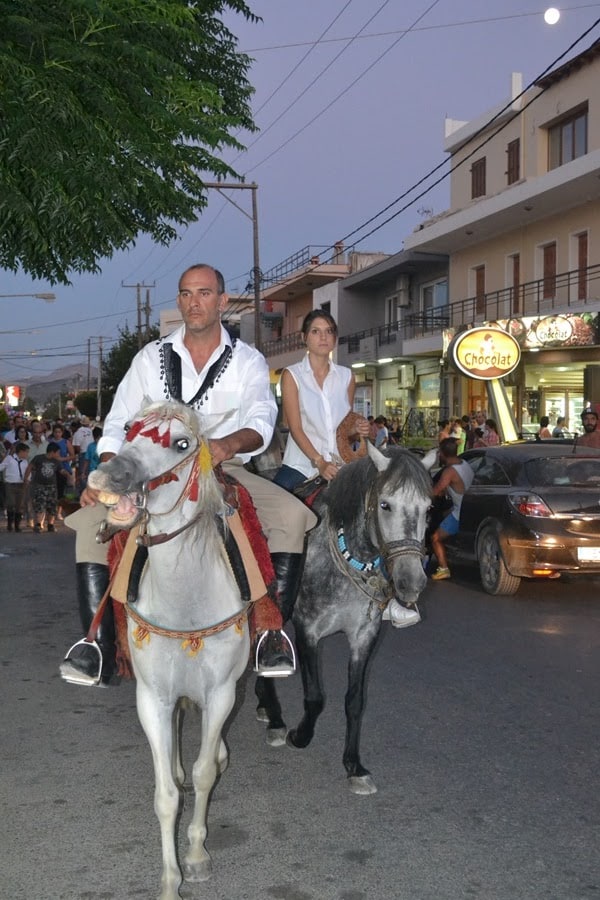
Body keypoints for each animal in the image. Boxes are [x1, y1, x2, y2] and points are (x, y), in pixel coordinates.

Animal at [86, 402, 248, 900]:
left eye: (182, 443)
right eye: (128, 429)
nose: (110, 476)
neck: (187, 603)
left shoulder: (221, 694)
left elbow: (204, 774)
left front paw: (195, 857)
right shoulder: (151, 697)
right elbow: (166, 796)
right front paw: (170, 879)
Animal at [255, 442, 434, 796]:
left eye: (428, 508)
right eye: (385, 504)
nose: (412, 582)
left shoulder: (364, 636)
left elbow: (355, 701)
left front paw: (353, 766)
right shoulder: (307, 630)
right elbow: (315, 696)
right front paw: (300, 734)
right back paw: (276, 718)